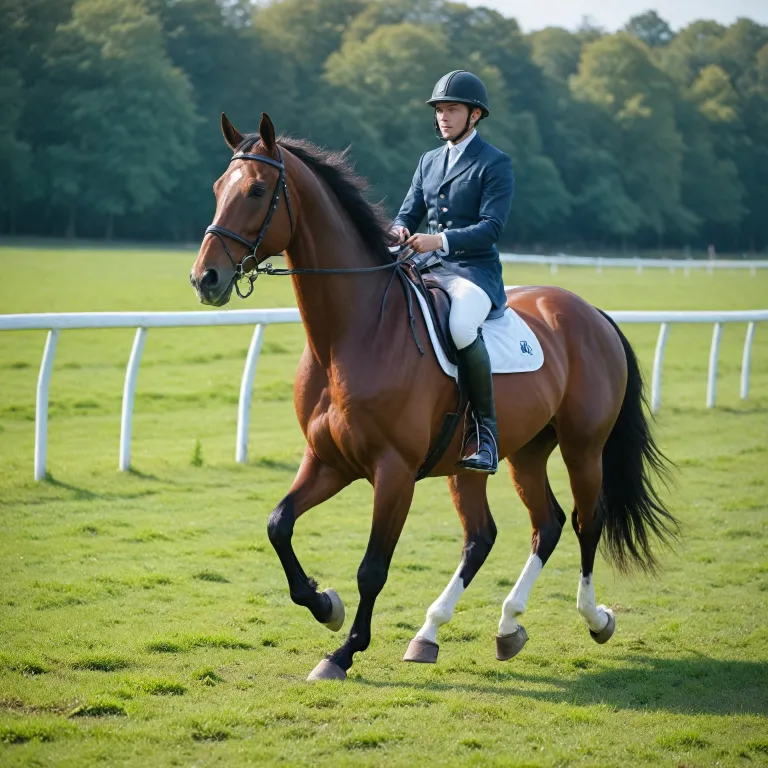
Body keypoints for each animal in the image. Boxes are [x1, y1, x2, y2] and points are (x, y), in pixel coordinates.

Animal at [190, 112, 678, 681]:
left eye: (257, 190)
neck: (352, 333)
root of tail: (591, 312)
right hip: (514, 455)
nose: (205, 278)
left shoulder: (393, 471)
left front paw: (343, 652)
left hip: (583, 448)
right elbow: (278, 525)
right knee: (520, 530)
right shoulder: (328, 461)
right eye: (217, 188)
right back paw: (475, 630)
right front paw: (324, 605)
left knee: (585, 521)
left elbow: (372, 568)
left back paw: (595, 618)